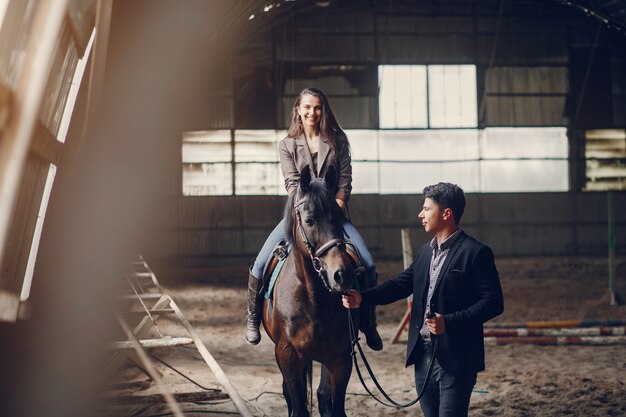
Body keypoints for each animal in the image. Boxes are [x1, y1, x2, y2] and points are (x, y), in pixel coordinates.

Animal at [260, 166, 356, 416]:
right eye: (309, 220)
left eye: (339, 218)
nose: (341, 275)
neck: (313, 299)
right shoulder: (287, 355)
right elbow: (299, 405)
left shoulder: (341, 357)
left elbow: (334, 404)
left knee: (322, 395)